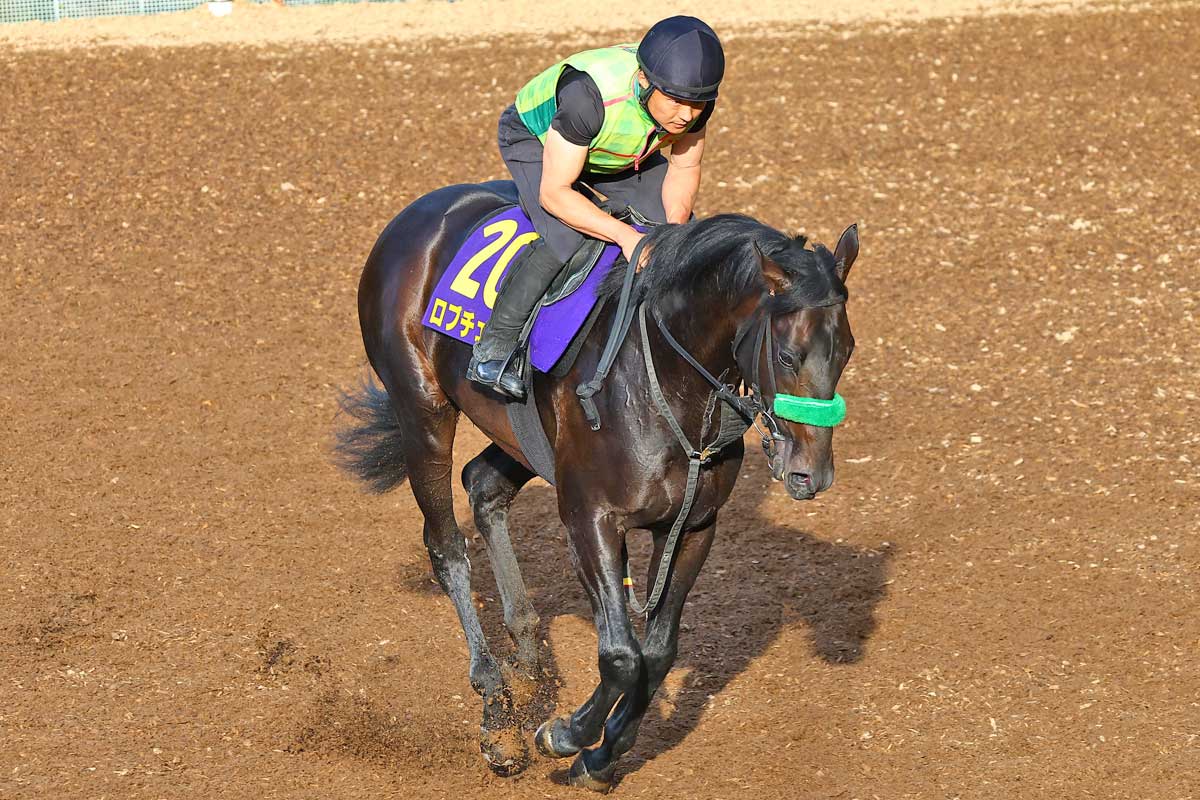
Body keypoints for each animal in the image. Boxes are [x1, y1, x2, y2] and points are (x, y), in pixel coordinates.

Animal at [335, 179, 859, 790]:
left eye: (847, 350)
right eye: (786, 354)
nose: (810, 473)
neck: (666, 382)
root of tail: (414, 215)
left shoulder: (694, 525)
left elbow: (657, 652)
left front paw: (602, 755)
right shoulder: (591, 517)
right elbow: (621, 656)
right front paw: (565, 735)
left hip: (521, 436)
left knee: (483, 484)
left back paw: (529, 666)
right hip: (422, 412)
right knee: (448, 550)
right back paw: (498, 717)